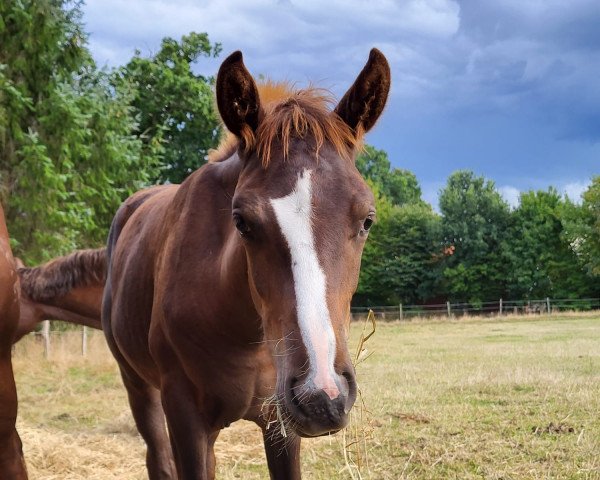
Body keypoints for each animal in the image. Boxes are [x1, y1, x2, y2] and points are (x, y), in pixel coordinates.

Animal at [104, 47, 390, 476]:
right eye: (241, 221)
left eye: (367, 219)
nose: (322, 395)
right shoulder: (184, 416)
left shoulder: (280, 422)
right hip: (138, 385)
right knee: (158, 458)